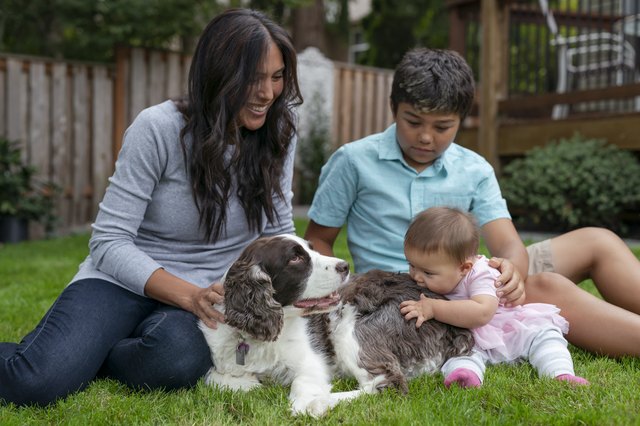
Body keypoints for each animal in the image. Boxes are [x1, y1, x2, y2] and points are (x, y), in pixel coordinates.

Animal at [200, 233, 476, 416]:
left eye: (311, 250)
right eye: (295, 259)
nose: (344, 265)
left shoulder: (313, 362)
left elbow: (300, 390)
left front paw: (310, 401)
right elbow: (216, 378)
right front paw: (251, 384)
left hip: (353, 327)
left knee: (386, 385)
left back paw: (320, 402)